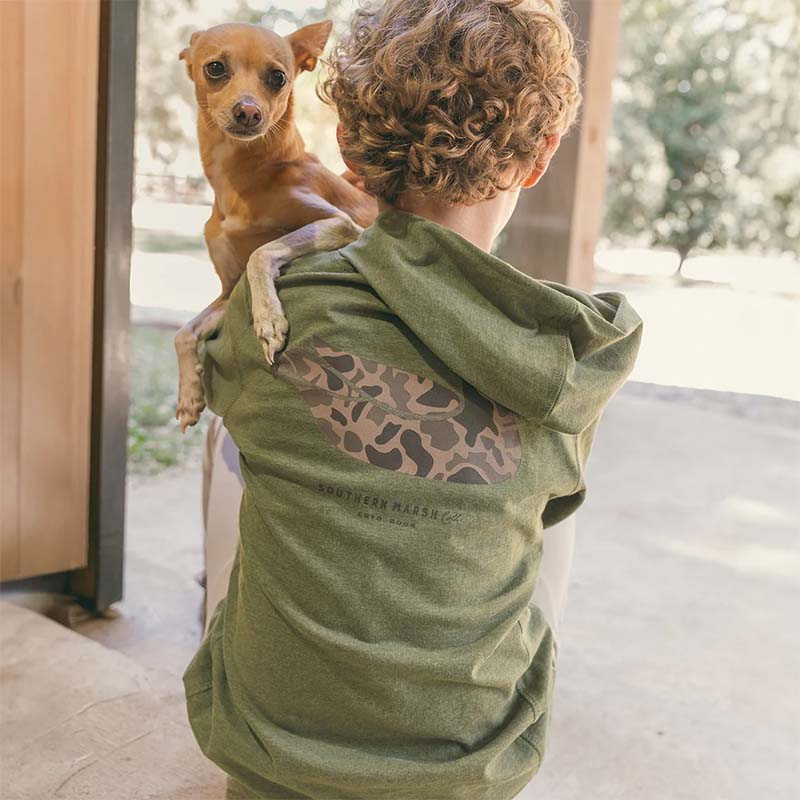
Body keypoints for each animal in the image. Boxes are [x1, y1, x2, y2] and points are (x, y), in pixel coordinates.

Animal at [175, 21, 376, 432]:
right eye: (215, 68)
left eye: (278, 78)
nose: (248, 112)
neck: (240, 181)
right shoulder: (228, 292)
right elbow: (182, 332)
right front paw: (189, 395)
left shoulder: (341, 224)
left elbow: (261, 250)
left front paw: (268, 319)